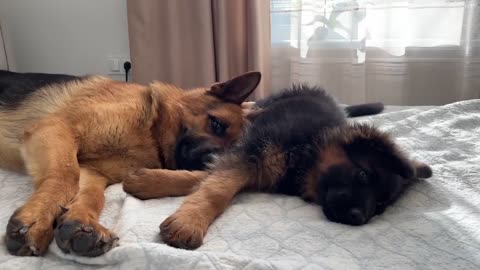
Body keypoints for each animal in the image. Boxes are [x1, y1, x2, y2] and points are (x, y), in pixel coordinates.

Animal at [0, 68, 262, 256]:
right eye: (217, 124)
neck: (151, 130)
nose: (212, 164)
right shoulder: (56, 129)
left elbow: (92, 195)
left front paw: (81, 222)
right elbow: (66, 177)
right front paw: (36, 222)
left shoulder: (92, 171)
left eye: (233, 149)